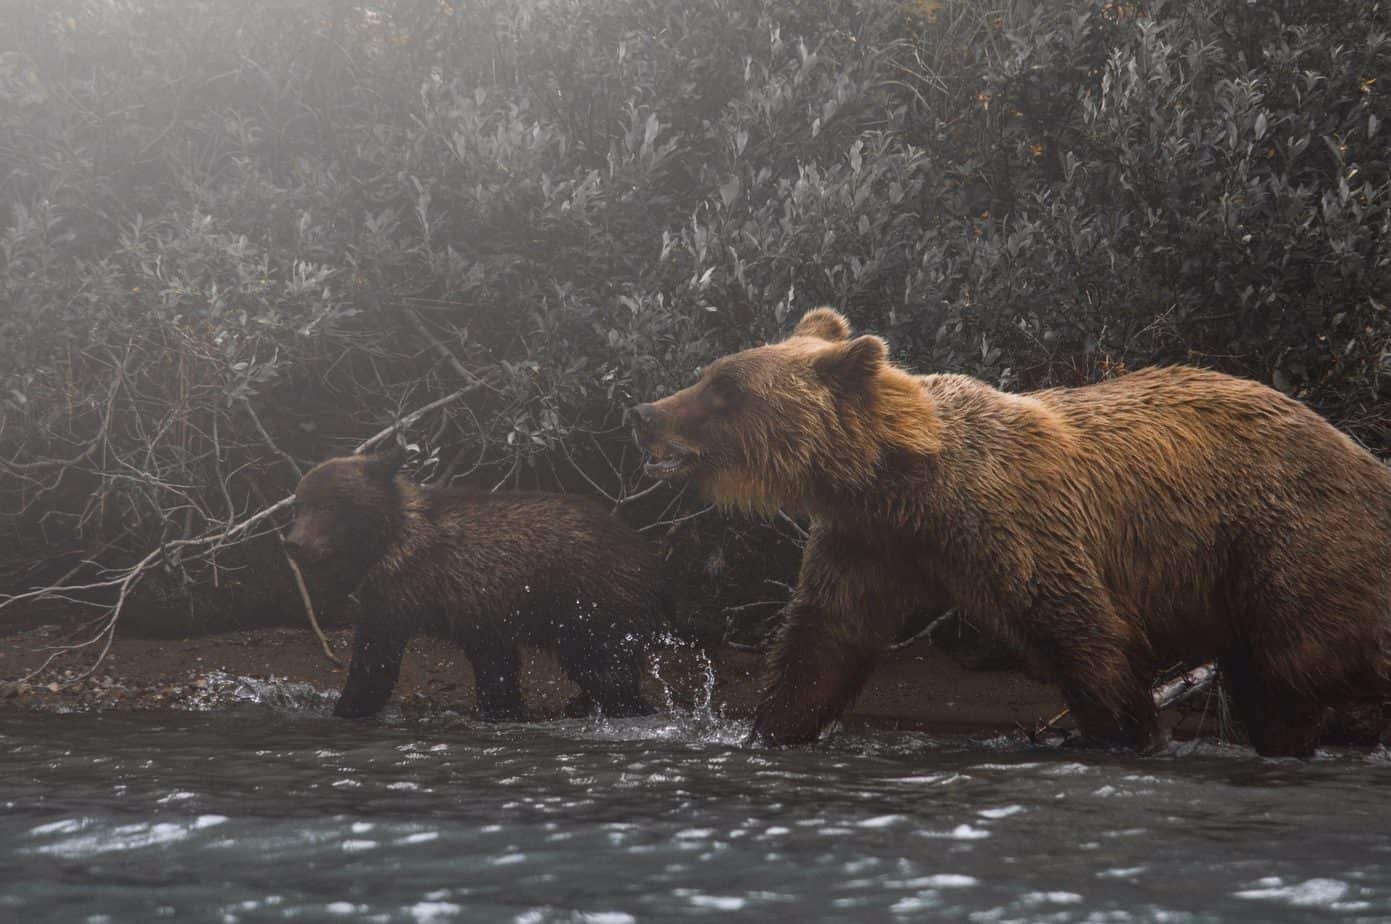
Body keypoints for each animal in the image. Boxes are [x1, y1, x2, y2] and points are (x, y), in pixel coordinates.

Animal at [284, 447, 665, 721]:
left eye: (328, 506)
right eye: (299, 505)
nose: (294, 543)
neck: (385, 542)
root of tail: (646, 551)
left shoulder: (401, 591)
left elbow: (375, 656)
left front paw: (347, 705)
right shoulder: (481, 612)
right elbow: (496, 666)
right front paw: (503, 708)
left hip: (591, 602)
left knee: (605, 667)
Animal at [629, 307, 1391, 757]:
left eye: (725, 389)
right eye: (709, 374)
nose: (645, 412)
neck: (903, 480)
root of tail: (1363, 454)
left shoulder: (1013, 521)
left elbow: (1079, 629)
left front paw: (1127, 734)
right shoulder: (868, 542)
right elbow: (823, 643)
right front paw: (768, 730)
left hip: (1289, 542)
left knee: (1291, 670)